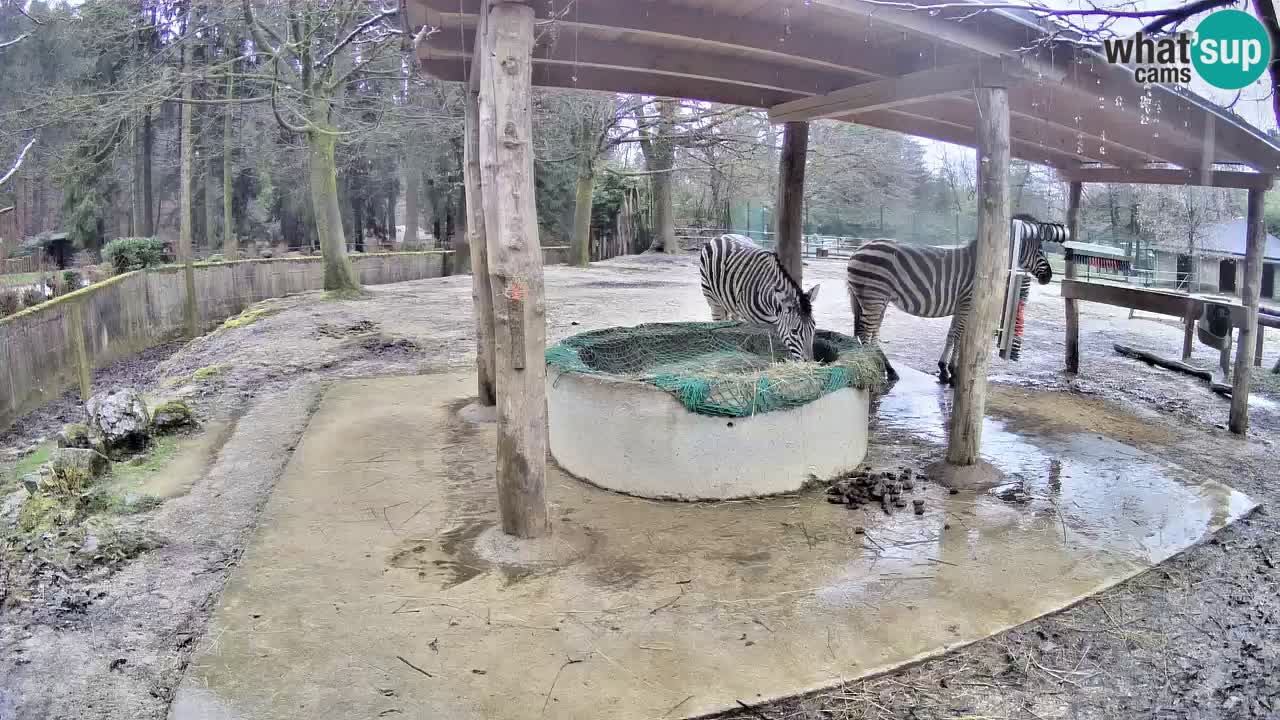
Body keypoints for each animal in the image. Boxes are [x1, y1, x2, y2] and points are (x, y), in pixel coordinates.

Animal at [844, 213, 1064, 386]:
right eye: (1040, 249)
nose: (1049, 277)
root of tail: (858, 250)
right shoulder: (967, 302)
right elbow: (960, 335)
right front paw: (953, 372)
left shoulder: (961, 305)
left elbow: (953, 334)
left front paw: (944, 369)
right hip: (874, 296)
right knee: (866, 334)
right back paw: (876, 371)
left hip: (875, 299)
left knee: (872, 334)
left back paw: (888, 369)